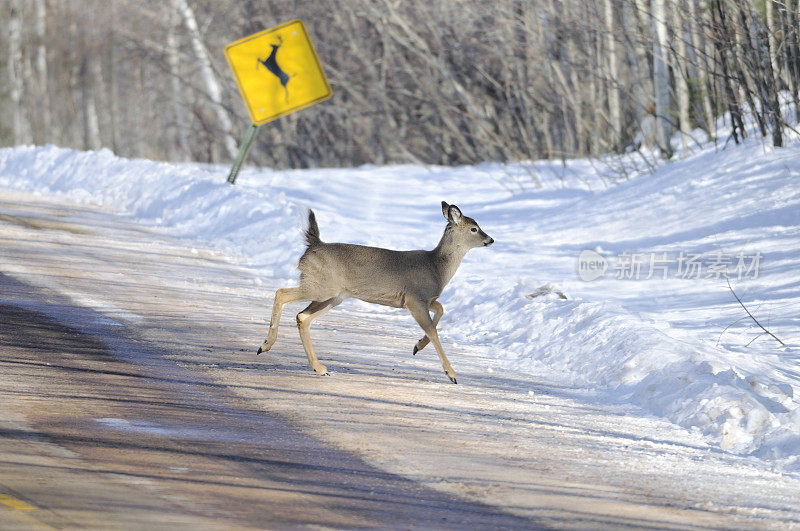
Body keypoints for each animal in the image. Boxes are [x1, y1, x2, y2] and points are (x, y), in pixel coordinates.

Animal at [256, 203, 494, 382]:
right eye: (474, 228)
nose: (490, 239)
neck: (436, 267)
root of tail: (313, 245)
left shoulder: (424, 300)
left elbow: (441, 310)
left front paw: (417, 346)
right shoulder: (414, 298)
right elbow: (433, 330)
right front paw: (451, 374)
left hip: (334, 295)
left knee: (302, 317)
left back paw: (319, 367)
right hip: (321, 287)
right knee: (281, 293)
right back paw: (265, 345)